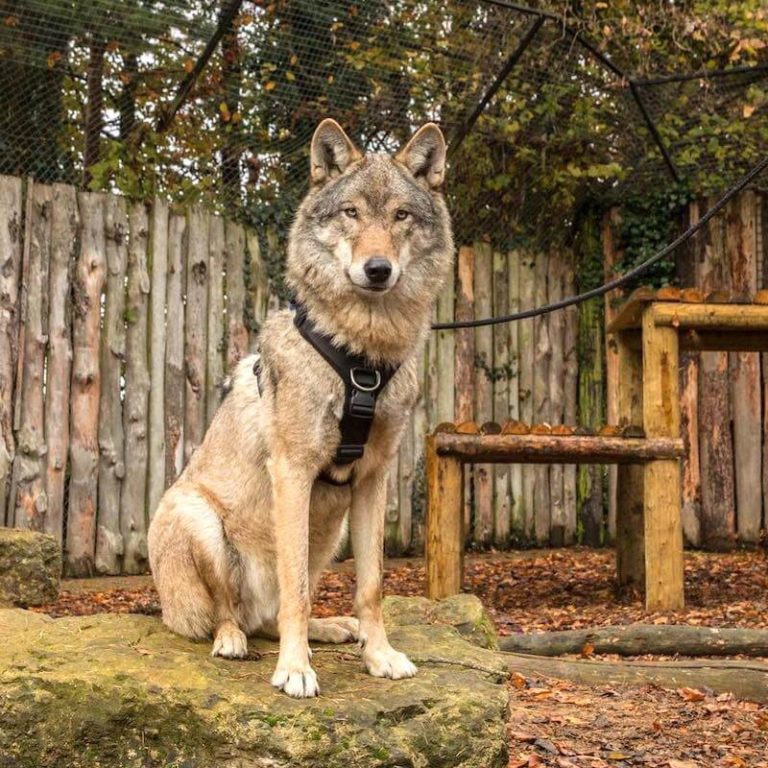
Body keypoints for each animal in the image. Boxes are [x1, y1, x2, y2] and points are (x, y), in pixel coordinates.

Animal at [147, 118, 452, 696]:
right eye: (351, 212)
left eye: (400, 216)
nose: (377, 269)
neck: (362, 358)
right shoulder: (293, 471)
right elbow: (297, 590)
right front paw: (295, 669)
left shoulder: (373, 480)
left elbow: (371, 586)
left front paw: (379, 656)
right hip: (197, 517)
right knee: (234, 612)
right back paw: (232, 640)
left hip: (330, 533)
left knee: (271, 614)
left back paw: (329, 629)